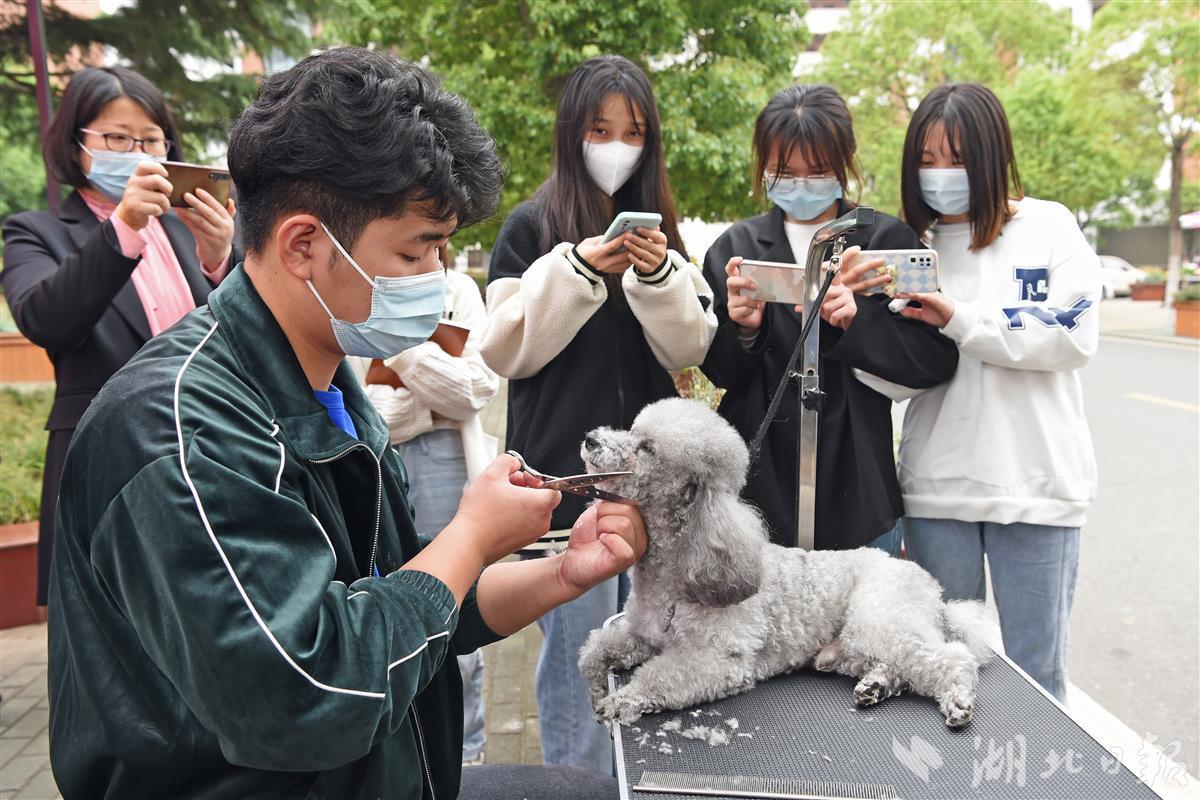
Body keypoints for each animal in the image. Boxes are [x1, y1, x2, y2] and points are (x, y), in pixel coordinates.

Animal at [577, 398, 999, 728]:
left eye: (646, 448)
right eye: (632, 429)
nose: (590, 438)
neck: (679, 569)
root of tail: (935, 593)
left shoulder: (720, 660)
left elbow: (660, 676)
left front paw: (623, 699)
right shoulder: (640, 634)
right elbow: (594, 650)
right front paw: (597, 686)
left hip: (880, 616)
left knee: (951, 659)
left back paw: (957, 698)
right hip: (859, 640)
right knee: (894, 665)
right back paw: (876, 685)